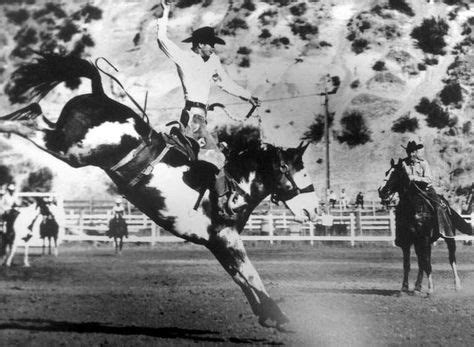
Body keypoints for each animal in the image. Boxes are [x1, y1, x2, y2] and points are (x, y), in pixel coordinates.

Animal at [0, 52, 320, 328]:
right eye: (299, 170)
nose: (315, 210)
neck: (235, 184)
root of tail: (100, 94)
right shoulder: (224, 237)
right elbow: (251, 275)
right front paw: (279, 316)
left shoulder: (217, 243)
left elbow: (241, 278)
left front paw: (268, 315)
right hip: (72, 149)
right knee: (30, 121)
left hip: (65, 142)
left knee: (34, 114)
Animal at [380, 159, 472, 294]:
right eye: (386, 172)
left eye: (396, 174)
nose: (381, 191)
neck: (413, 208)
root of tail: (447, 205)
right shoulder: (407, 242)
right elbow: (407, 264)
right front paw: (404, 287)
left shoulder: (424, 239)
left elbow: (427, 264)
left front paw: (430, 289)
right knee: (421, 262)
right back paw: (417, 286)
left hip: (448, 238)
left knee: (451, 259)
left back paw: (457, 285)